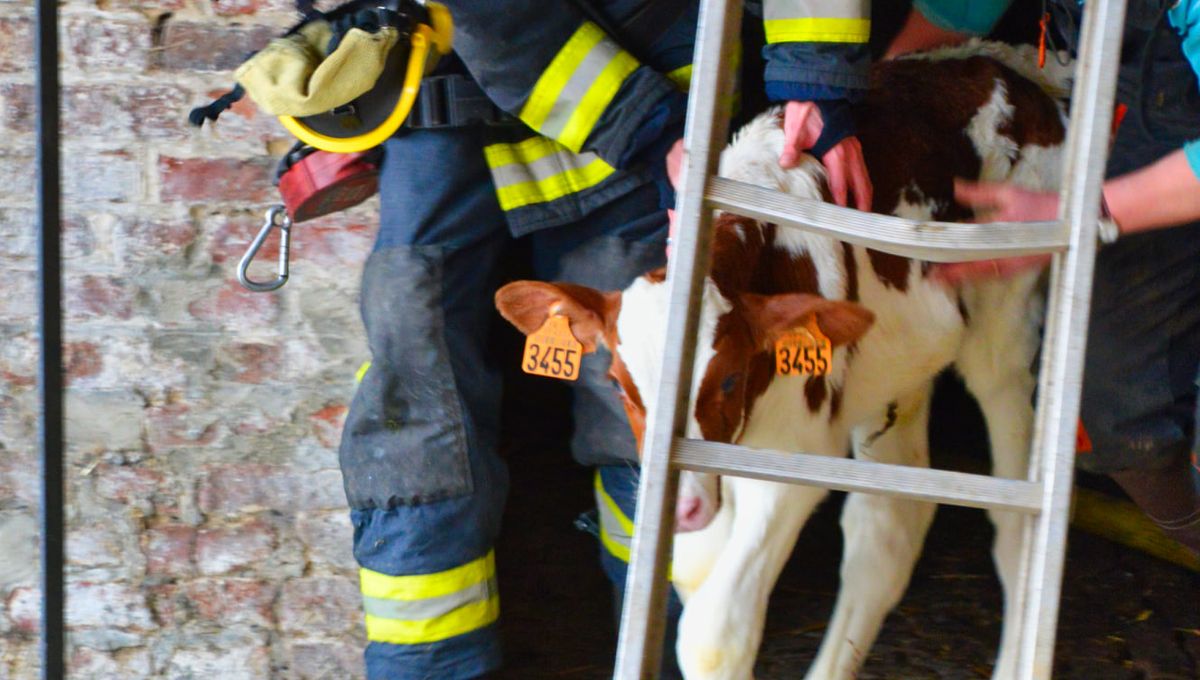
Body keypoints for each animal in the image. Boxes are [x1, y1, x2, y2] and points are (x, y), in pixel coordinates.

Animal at [494, 42, 1070, 680]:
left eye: (730, 378)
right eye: (620, 385)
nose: (683, 507)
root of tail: (1001, 63)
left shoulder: (796, 453)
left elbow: (714, 633)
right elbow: (697, 574)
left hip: (1004, 325)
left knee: (1017, 524)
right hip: (898, 371)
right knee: (885, 532)